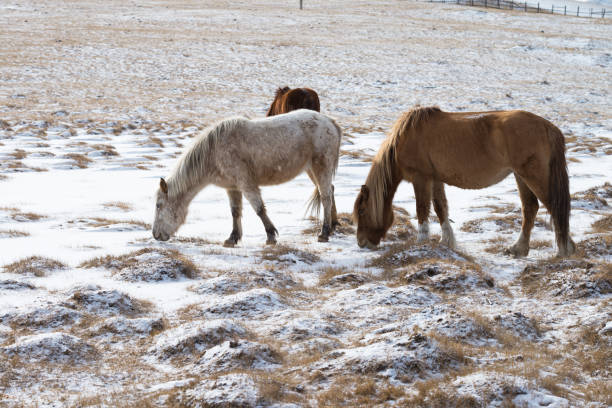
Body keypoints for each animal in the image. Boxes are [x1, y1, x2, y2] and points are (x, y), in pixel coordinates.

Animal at [152, 108, 342, 247]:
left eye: (159, 205)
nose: (155, 235)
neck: (213, 152)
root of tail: (330, 122)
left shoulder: (246, 184)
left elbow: (259, 209)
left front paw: (271, 236)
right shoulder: (232, 187)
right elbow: (235, 211)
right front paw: (232, 238)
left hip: (321, 167)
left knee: (325, 197)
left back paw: (324, 233)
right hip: (312, 170)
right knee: (330, 192)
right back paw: (333, 225)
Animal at [352, 107, 576, 256]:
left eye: (362, 211)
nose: (361, 243)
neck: (406, 137)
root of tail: (548, 127)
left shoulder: (421, 178)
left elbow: (422, 209)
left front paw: (421, 243)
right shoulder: (436, 179)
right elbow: (440, 208)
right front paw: (447, 241)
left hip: (533, 175)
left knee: (554, 207)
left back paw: (564, 250)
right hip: (520, 176)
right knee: (530, 208)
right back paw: (518, 248)